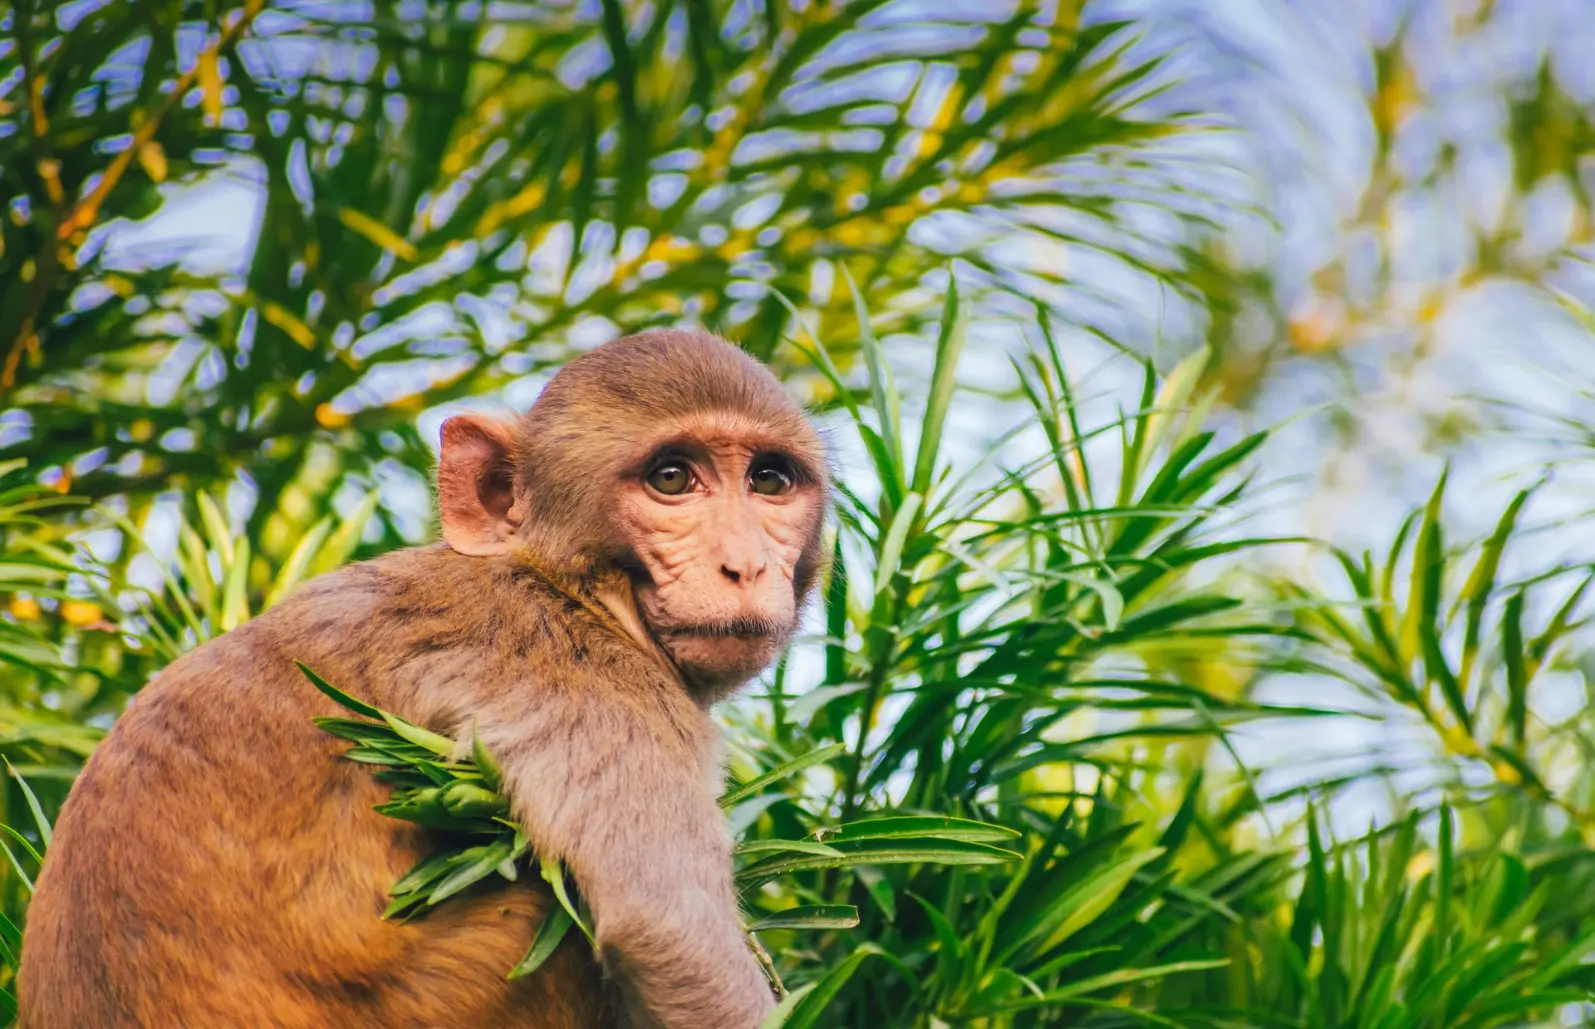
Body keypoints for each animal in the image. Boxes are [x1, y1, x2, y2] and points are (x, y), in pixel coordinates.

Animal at [18, 329, 830, 1029]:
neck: (567, 585)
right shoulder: (591, 681)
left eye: (767, 480)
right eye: (672, 478)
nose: (743, 565)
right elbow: (669, 935)